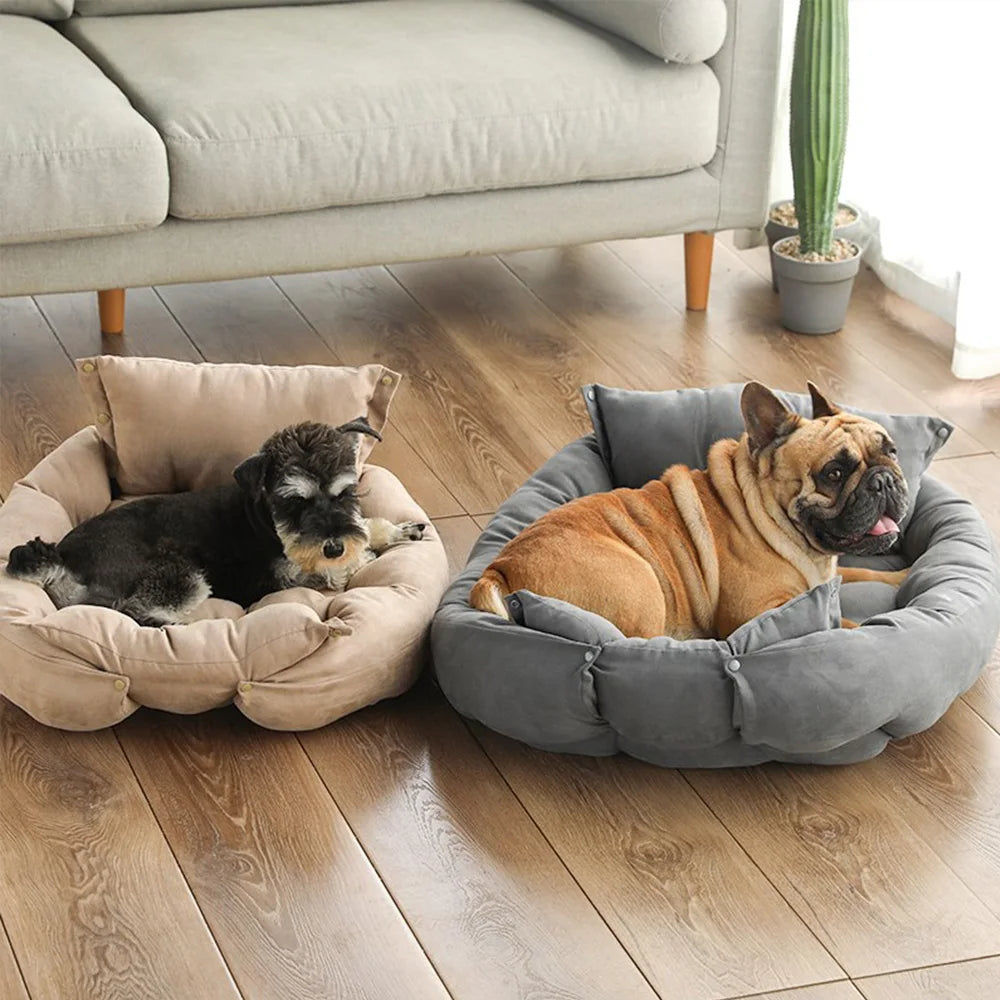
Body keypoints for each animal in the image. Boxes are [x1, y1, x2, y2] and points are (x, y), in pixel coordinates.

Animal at [5, 420, 424, 624]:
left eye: (346, 492)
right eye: (293, 502)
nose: (334, 546)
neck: (263, 520)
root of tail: (61, 557)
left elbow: (365, 527)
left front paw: (396, 531)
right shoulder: (278, 580)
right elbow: (333, 574)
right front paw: (363, 556)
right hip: (179, 573)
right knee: (131, 610)